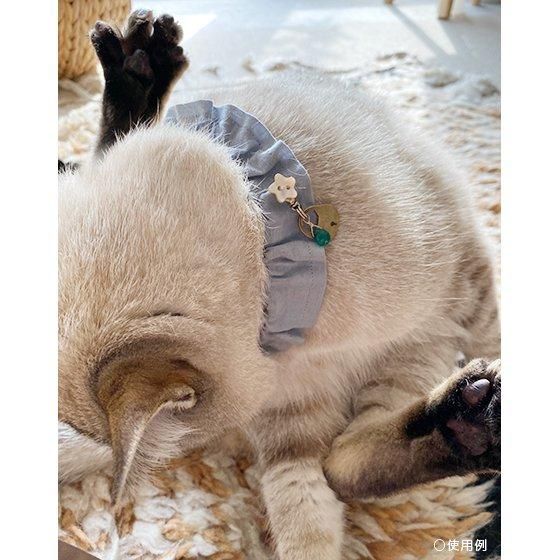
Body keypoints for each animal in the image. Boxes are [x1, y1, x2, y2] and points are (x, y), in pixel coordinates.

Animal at [58, 10, 500, 560]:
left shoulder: (466, 275)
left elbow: (495, 334)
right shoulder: (288, 404)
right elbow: (324, 491)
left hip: (415, 349)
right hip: (324, 408)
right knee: (338, 471)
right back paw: (471, 426)